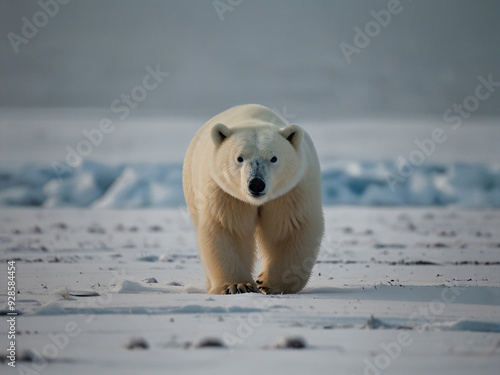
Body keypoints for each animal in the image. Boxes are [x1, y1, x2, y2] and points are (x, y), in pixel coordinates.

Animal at [184, 104, 324, 296]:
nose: (256, 184)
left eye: (274, 158)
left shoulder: (289, 192)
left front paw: (270, 283)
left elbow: (289, 228)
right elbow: (229, 228)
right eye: (239, 158)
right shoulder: (225, 193)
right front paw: (237, 285)